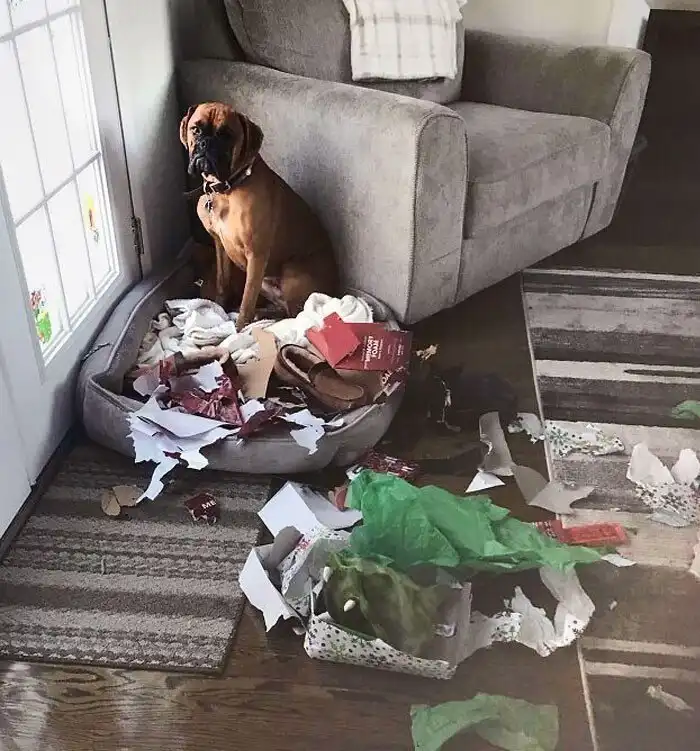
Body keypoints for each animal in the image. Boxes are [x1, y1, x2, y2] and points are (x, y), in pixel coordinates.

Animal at [180, 102, 339, 331]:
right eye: (196, 129)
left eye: (226, 135)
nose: (205, 144)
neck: (228, 189)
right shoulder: (221, 245)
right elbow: (222, 282)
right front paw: (219, 310)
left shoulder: (256, 255)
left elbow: (247, 301)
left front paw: (238, 329)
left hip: (291, 273)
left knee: (297, 315)